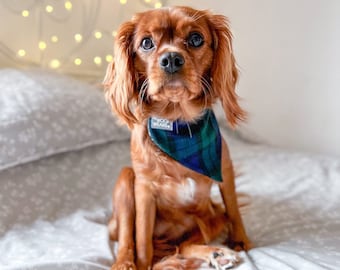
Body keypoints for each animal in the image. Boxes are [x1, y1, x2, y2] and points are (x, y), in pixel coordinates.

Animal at [103, 6, 252, 270]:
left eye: (196, 39)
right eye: (146, 43)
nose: (171, 58)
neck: (178, 126)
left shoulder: (225, 168)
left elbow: (233, 208)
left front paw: (240, 240)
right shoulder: (144, 190)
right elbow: (142, 241)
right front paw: (143, 264)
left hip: (210, 217)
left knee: (184, 245)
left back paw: (216, 253)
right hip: (125, 180)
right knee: (126, 240)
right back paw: (124, 263)